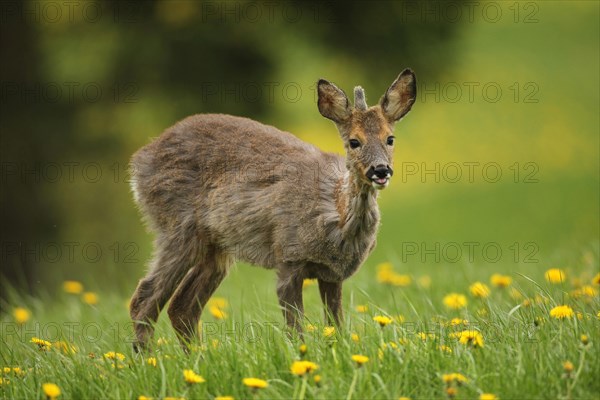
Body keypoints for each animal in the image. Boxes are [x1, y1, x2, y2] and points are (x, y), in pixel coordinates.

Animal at [128, 69, 414, 350]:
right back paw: (150, 359)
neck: (335, 215)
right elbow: (295, 331)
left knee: (182, 306)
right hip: (178, 228)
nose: (380, 170)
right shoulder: (288, 257)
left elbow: (336, 327)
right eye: (354, 142)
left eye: (390, 138)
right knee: (144, 298)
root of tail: (138, 162)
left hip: (216, 247)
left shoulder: (333, 273)